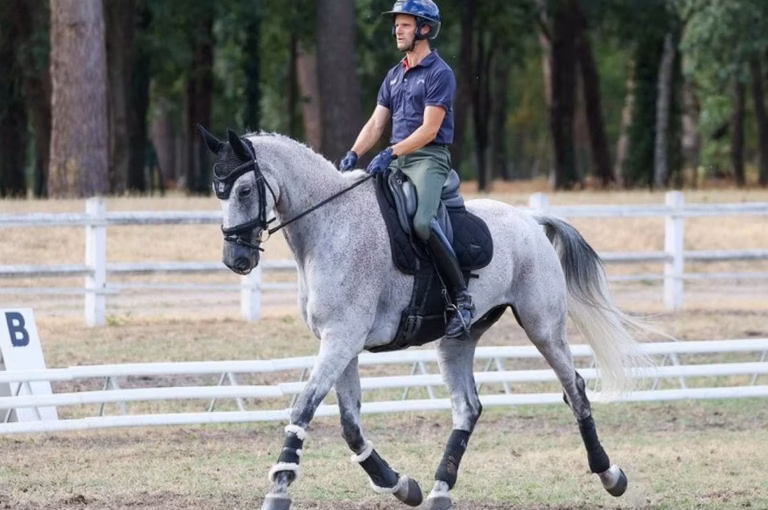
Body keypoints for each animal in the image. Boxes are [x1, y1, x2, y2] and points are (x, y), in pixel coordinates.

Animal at [199, 126, 650, 510]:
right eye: (217, 193)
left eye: (243, 189)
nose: (236, 259)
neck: (330, 226)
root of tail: (530, 221)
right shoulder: (341, 342)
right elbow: (350, 424)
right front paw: (400, 485)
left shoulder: (342, 338)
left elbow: (302, 409)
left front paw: (278, 489)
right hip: (457, 340)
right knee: (467, 407)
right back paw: (438, 491)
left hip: (542, 326)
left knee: (574, 389)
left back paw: (610, 475)